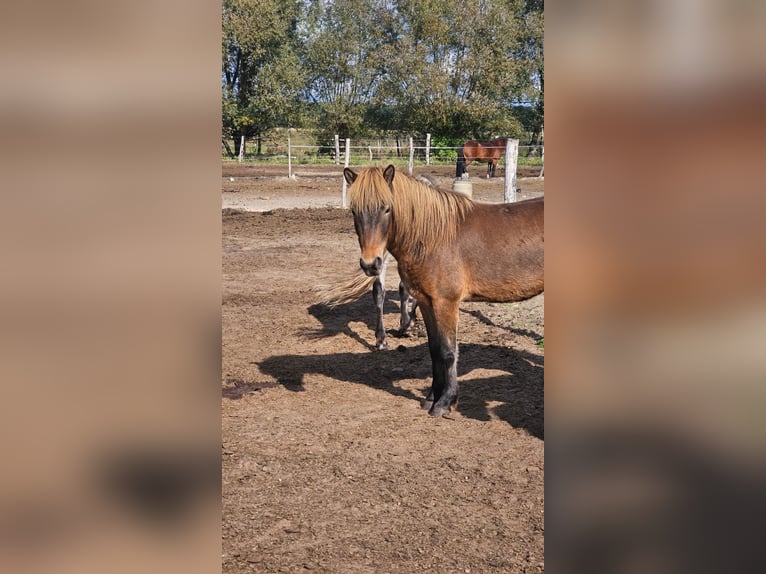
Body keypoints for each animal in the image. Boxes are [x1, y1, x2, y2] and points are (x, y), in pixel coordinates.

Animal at [343, 164, 543, 417]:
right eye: (354, 211)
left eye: (387, 208)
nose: (371, 264)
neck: (433, 237)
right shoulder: (426, 302)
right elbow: (435, 350)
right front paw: (431, 397)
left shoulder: (446, 303)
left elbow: (448, 352)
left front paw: (445, 402)